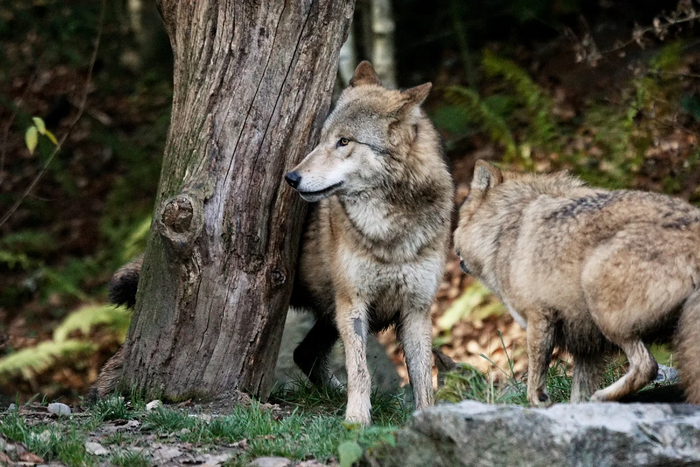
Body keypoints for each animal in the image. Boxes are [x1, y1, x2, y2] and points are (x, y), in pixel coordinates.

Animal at [94, 60, 454, 426]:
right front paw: (356, 423)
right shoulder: (353, 303)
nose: (291, 178)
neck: (392, 229)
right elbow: (361, 371)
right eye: (321, 140)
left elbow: (423, 379)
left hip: (330, 317)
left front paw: (427, 420)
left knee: (304, 353)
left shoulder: (416, 309)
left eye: (344, 142)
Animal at [452, 161, 700, 406]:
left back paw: (601, 396)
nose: (454, 249)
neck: (506, 225)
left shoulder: (539, 317)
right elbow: (577, 396)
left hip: (600, 300)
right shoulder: (587, 348)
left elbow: (534, 385)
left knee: (647, 366)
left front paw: (540, 402)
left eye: (461, 216)